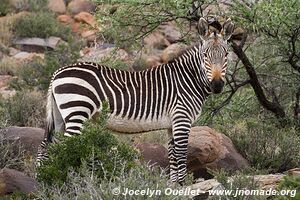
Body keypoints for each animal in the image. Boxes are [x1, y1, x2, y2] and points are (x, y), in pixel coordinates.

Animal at [37, 18, 234, 184]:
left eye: (225, 55)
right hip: (77, 111)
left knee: (46, 147)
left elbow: (172, 155)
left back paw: (44, 183)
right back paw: (68, 181)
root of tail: (57, 72)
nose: (217, 85)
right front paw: (182, 185)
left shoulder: (172, 123)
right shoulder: (182, 118)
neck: (188, 78)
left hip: (60, 116)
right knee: (65, 148)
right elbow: (180, 154)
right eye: (205, 55)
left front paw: (174, 187)